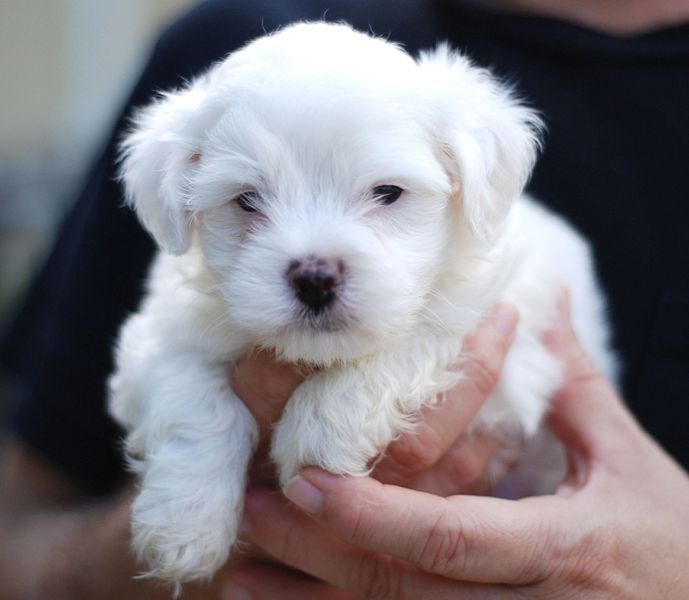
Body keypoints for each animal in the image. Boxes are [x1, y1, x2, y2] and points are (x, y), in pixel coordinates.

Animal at [107, 22, 612, 584]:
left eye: (387, 192)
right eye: (247, 200)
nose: (314, 277)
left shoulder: (515, 339)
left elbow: (422, 333)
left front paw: (319, 426)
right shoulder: (160, 332)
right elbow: (193, 401)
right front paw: (183, 523)